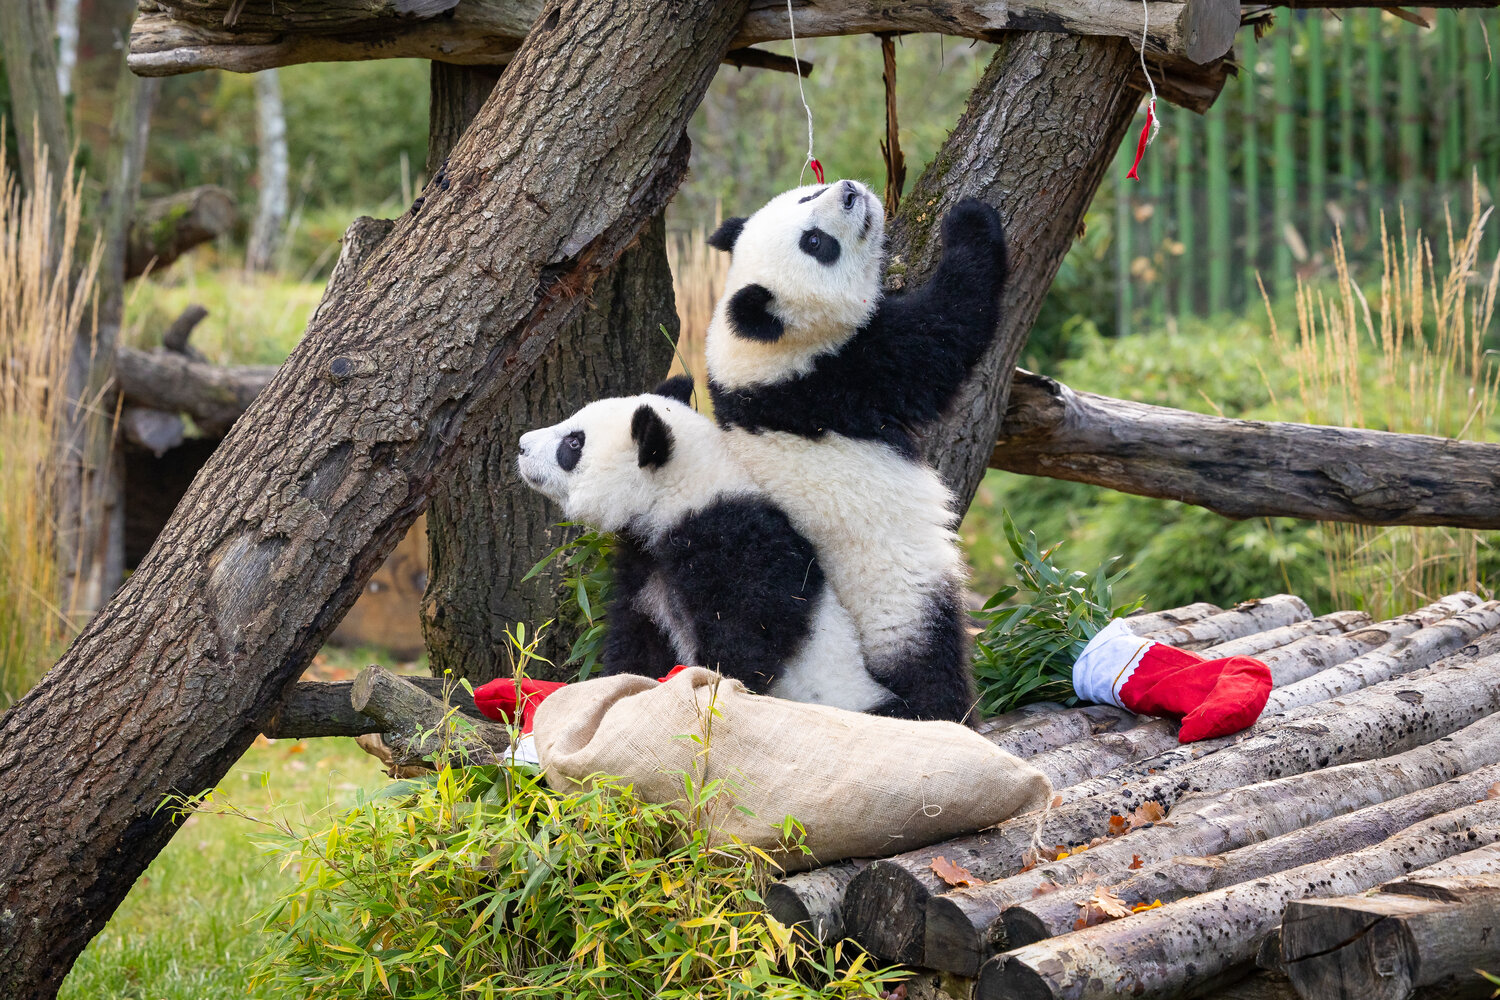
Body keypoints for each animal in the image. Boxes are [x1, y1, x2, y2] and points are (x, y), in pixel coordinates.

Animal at [516, 376, 897, 713]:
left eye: (573, 443)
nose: (521, 445)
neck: (682, 498)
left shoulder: (737, 547)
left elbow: (745, 637)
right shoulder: (645, 568)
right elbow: (639, 638)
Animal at [703, 179, 1008, 723]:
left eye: (808, 195)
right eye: (816, 243)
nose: (848, 191)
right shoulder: (846, 374)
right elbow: (948, 331)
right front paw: (971, 219)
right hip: (895, 604)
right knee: (931, 664)